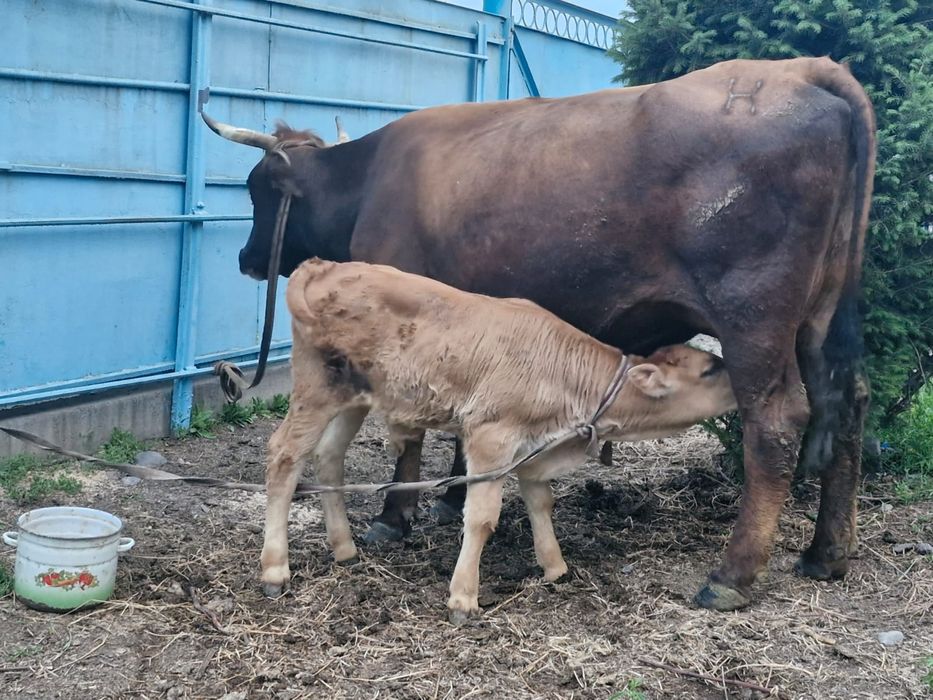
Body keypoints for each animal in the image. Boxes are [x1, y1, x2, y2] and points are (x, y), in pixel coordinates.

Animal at [263, 258, 737, 621]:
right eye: (710, 369)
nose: (742, 381)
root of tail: (324, 266)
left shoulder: (532, 446)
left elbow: (541, 502)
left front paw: (555, 567)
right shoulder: (491, 436)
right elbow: (481, 517)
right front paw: (463, 598)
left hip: (354, 396)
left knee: (328, 456)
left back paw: (344, 548)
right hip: (315, 388)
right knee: (284, 457)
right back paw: (275, 569)